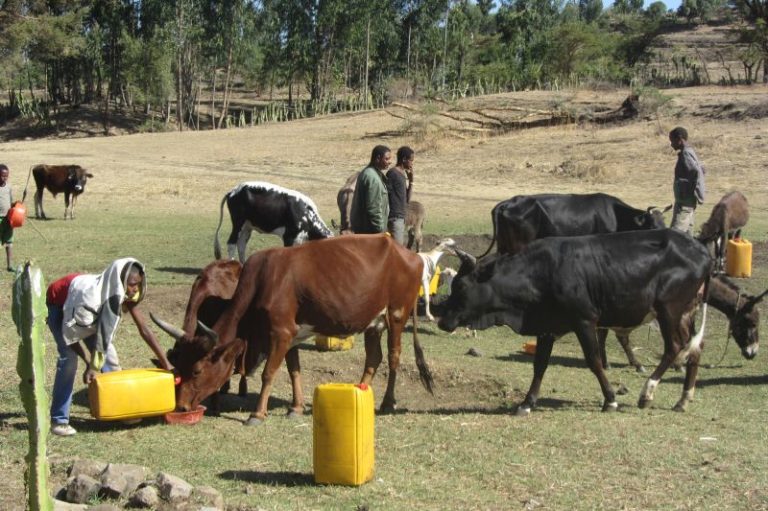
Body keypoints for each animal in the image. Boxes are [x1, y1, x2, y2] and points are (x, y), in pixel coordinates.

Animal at [153, 234, 436, 426]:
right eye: (179, 367)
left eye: (197, 370)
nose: (182, 405)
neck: (263, 280)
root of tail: (409, 254)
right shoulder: (290, 335)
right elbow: (294, 370)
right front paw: (296, 408)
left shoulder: (281, 332)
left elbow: (269, 373)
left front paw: (257, 414)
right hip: (373, 323)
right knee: (374, 359)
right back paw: (360, 389)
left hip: (396, 315)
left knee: (394, 356)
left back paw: (388, 402)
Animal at [438, 230, 712, 418]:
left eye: (461, 286)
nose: (442, 321)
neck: (541, 272)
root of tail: (701, 250)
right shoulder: (547, 327)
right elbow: (539, 365)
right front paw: (527, 403)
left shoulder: (584, 321)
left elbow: (594, 361)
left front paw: (610, 399)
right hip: (685, 313)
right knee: (695, 349)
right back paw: (683, 399)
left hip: (669, 310)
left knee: (674, 347)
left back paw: (647, 393)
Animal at [476, 192, 668, 256]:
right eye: (651, 225)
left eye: (663, 223)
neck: (614, 212)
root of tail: (508, 202)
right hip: (518, 243)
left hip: (503, 243)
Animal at [596, 274, 764, 374]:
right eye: (753, 323)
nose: (753, 353)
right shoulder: (681, 315)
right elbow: (683, 338)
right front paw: (678, 364)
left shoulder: (689, 315)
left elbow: (691, 337)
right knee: (615, 335)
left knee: (610, 335)